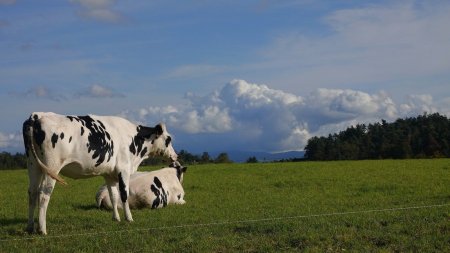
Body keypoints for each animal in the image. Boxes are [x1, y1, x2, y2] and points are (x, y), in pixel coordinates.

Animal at [22, 112, 178, 235]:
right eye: (169, 139)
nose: (175, 156)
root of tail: (37, 115)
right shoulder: (124, 170)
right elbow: (124, 195)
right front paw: (129, 218)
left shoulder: (109, 174)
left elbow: (113, 196)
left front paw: (116, 218)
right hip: (52, 167)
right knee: (43, 194)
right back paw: (42, 229)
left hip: (33, 165)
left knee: (32, 193)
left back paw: (30, 227)